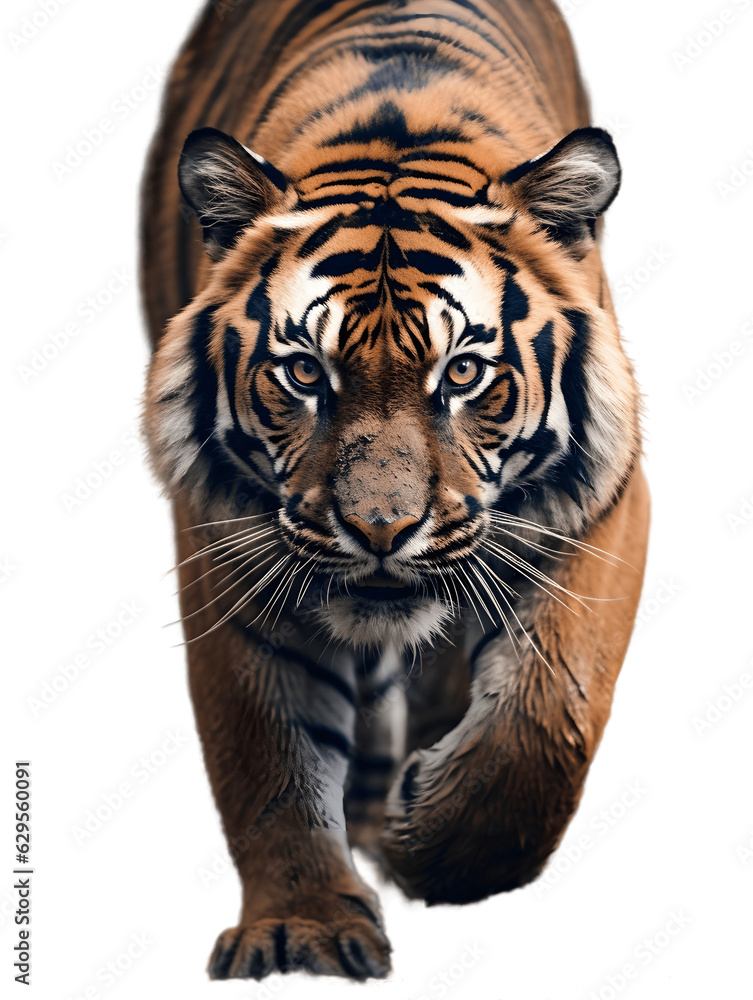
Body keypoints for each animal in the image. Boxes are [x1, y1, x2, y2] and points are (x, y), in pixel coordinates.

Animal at [140, 0, 650, 982]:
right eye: (305, 373)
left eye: (463, 374)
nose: (380, 530)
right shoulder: (227, 541)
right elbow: (264, 751)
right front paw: (298, 930)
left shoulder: (601, 507)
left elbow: (549, 716)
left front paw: (437, 851)